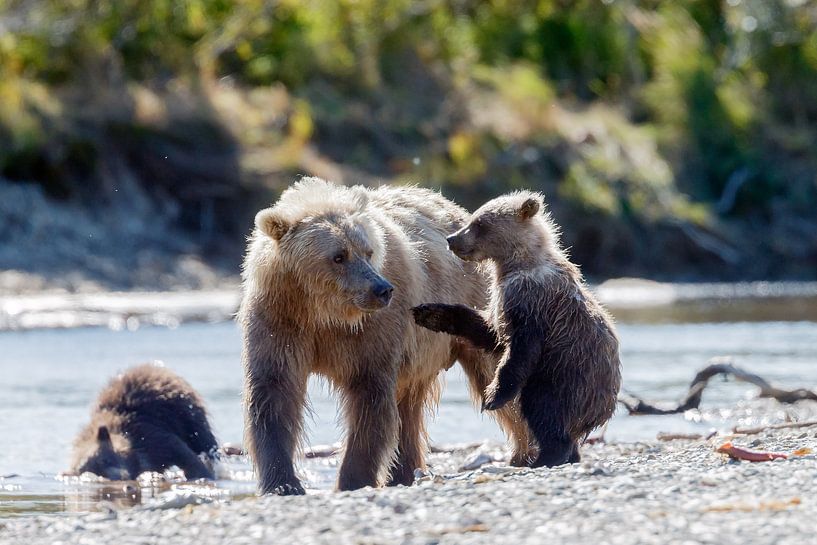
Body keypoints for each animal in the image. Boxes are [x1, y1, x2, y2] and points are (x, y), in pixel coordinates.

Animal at [70, 363, 218, 480]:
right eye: (97, 473)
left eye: (106, 459)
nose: (122, 476)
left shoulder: (150, 433)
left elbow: (182, 452)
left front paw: (204, 474)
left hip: (187, 412)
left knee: (204, 440)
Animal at [239, 177, 534, 495]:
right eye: (338, 256)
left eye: (367, 251)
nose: (382, 289)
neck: (324, 313)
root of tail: (457, 211)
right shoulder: (280, 322)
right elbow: (275, 392)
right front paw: (283, 482)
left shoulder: (372, 332)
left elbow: (370, 398)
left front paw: (352, 480)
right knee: (408, 407)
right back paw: (404, 472)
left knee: (493, 370)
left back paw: (527, 451)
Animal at [412, 191, 621, 467]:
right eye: (474, 218)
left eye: (479, 223)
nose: (452, 239)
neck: (516, 264)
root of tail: (602, 411)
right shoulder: (503, 303)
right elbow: (490, 333)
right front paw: (431, 313)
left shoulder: (530, 301)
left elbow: (519, 351)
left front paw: (493, 397)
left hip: (566, 376)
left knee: (542, 407)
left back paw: (548, 455)